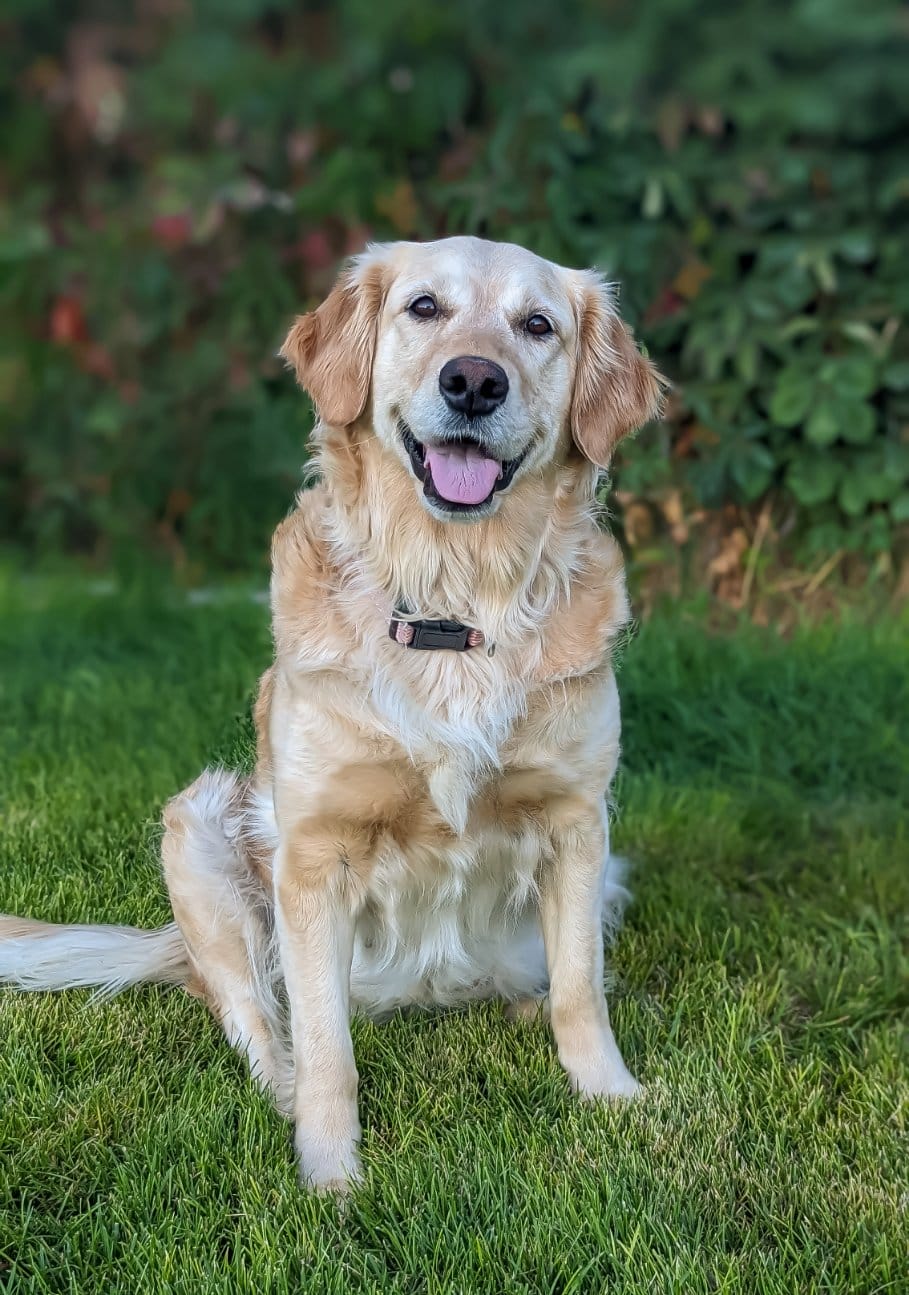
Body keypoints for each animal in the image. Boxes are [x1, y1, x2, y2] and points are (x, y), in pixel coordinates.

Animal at [1, 235, 668, 1191]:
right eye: (424, 307)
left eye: (536, 325)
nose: (474, 381)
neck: (453, 605)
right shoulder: (313, 855)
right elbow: (326, 1043)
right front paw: (330, 1173)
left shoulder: (579, 821)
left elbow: (581, 984)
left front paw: (610, 1095)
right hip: (198, 829)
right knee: (249, 1012)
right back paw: (281, 1090)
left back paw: (514, 1009)